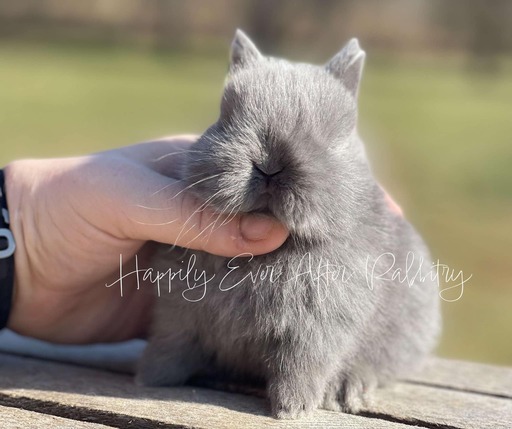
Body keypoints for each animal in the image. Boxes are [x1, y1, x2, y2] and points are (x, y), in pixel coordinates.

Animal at [136, 30, 440, 418]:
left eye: (330, 135)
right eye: (226, 115)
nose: (269, 165)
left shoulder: (316, 329)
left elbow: (299, 366)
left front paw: (292, 409)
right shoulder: (177, 313)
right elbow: (171, 346)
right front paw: (148, 378)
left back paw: (347, 389)